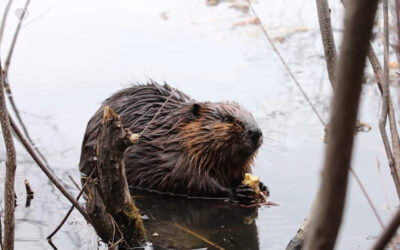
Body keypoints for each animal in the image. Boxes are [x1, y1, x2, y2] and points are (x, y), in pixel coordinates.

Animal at [79, 82, 268, 203]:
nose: (255, 132)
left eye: (251, 115)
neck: (172, 132)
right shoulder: (171, 157)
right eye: (227, 118)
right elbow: (190, 180)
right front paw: (238, 191)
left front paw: (262, 186)